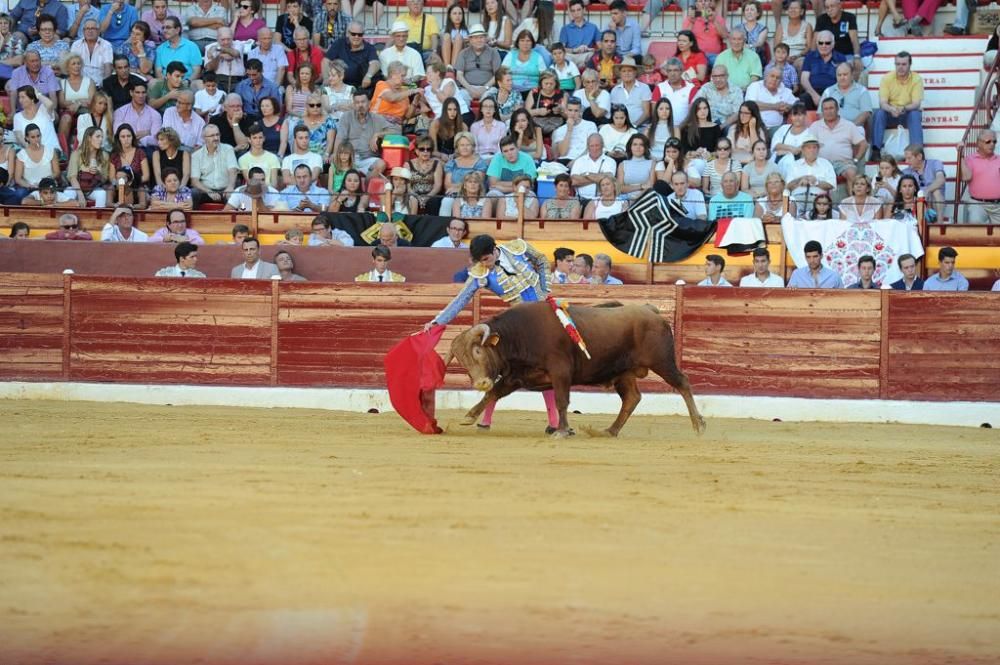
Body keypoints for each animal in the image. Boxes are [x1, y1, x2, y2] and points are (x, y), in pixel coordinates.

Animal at [446, 300, 704, 436]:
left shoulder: (561, 372)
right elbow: (494, 393)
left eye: (478, 351)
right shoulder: (517, 377)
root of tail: (651, 310)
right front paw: (469, 416)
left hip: (663, 362)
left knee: (682, 383)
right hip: (624, 372)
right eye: (462, 361)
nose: (480, 382)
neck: (518, 335)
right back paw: (610, 431)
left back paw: (698, 424)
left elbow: (562, 400)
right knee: (632, 398)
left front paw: (562, 430)